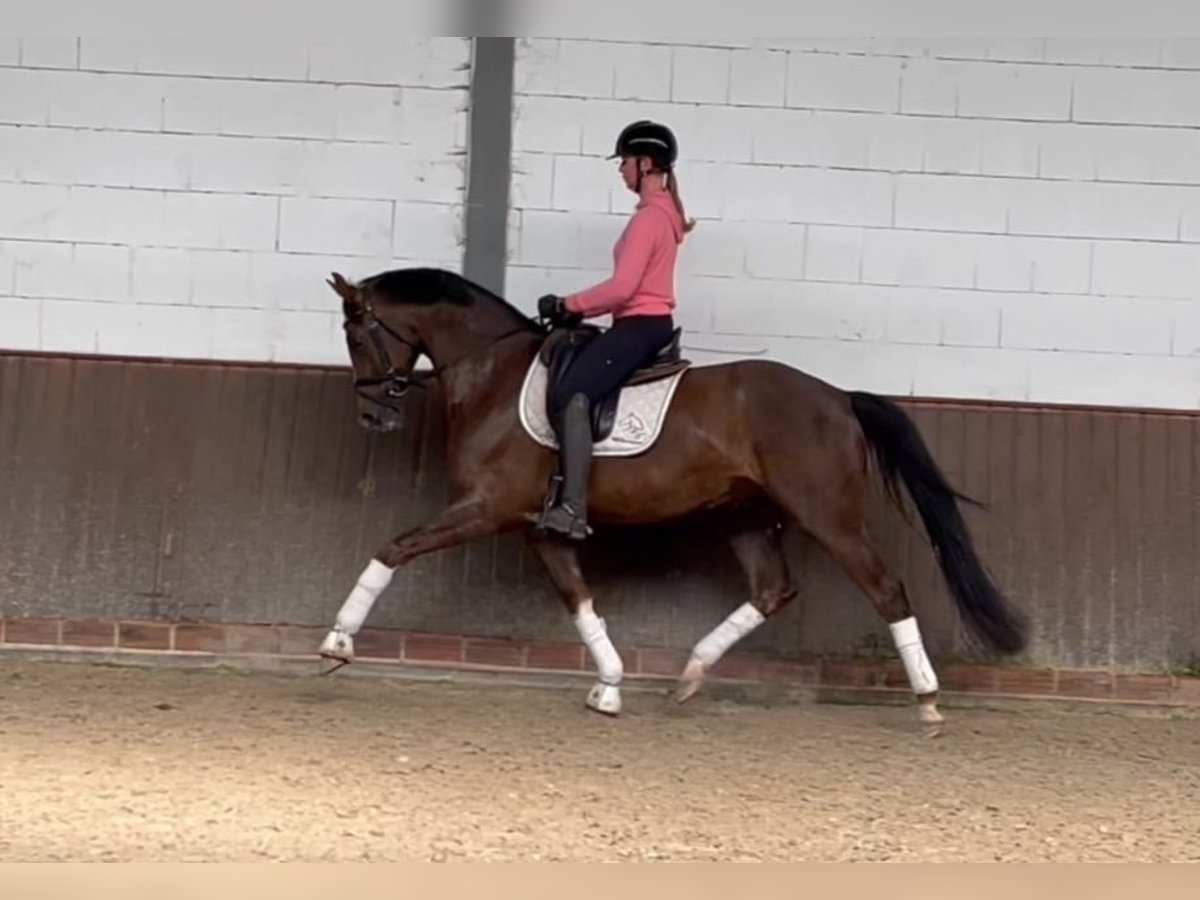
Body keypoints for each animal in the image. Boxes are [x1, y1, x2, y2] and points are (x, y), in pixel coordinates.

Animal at [319, 266, 1032, 724]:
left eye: (355, 334)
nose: (372, 416)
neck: (493, 371)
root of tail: (838, 397)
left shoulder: (488, 507)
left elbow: (392, 549)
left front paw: (337, 644)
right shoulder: (539, 526)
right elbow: (581, 601)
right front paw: (609, 686)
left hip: (829, 516)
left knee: (885, 589)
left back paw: (928, 700)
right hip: (748, 517)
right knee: (771, 590)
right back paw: (689, 675)